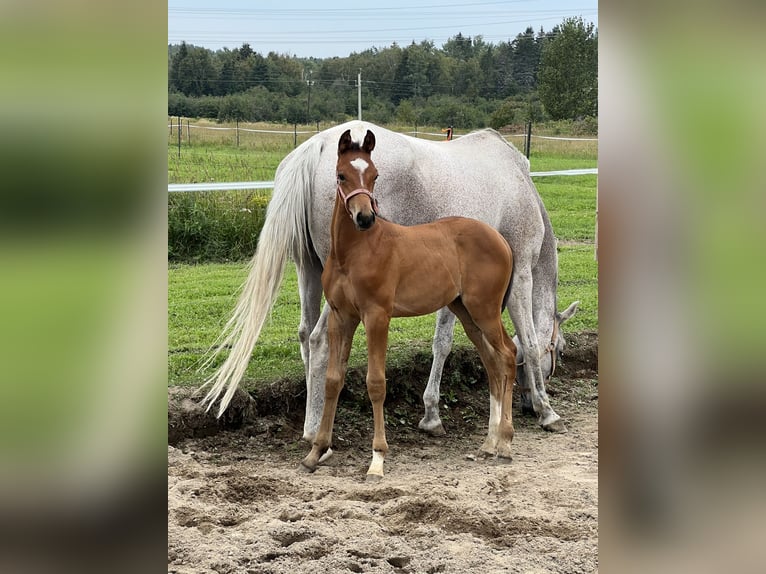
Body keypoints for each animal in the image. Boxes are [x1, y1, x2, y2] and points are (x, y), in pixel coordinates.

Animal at [201, 121, 580, 444]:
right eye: (560, 350)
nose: (526, 406)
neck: (517, 179)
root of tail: (315, 146)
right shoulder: (522, 276)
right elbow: (528, 342)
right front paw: (546, 410)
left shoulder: (453, 293)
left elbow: (442, 343)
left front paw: (432, 415)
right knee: (319, 339)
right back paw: (314, 430)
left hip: (308, 272)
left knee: (305, 335)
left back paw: (317, 413)